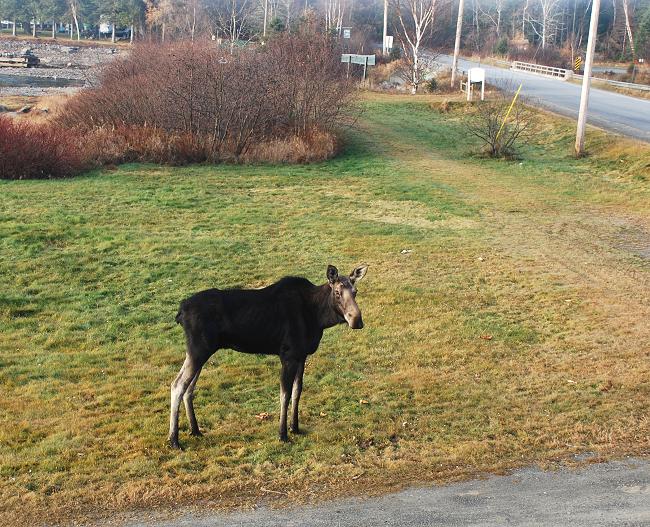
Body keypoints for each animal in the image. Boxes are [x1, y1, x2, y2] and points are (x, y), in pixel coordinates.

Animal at [167, 264, 368, 450]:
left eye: (355, 291)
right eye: (337, 292)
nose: (357, 320)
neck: (318, 317)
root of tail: (180, 312)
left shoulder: (302, 355)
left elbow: (297, 391)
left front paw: (295, 427)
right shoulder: (288, 354)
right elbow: (285, 395)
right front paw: (283, 434)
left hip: (202, 351)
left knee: (189, 388)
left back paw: (195, 430)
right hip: (198, 349)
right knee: (178, 385)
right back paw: (174, 440)